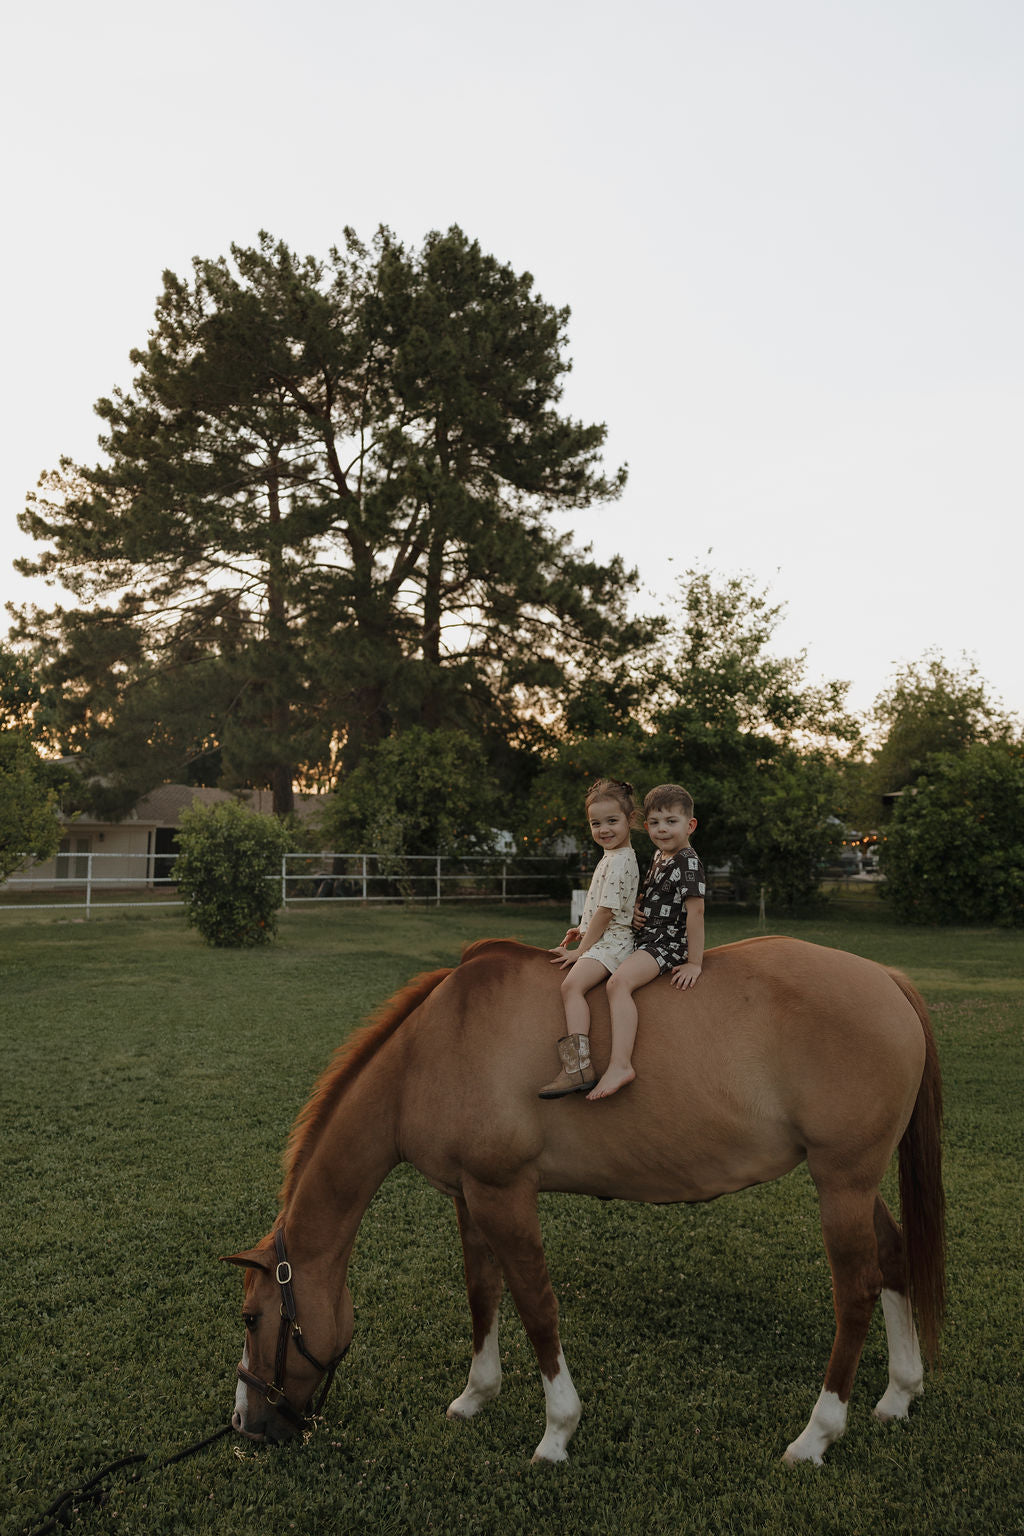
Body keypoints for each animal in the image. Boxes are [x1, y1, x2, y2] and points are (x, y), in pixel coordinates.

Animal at [225, 935, 945, 1466]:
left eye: (252, 1320)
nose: (246, 1425)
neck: (435, 1049)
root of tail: (886, 979)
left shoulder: (505, 1193)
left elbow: (536, 1307)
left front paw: (557, 1431)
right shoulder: (470, 1196)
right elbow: (482, 1293)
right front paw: (476, 1395)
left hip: (841, 1182)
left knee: (856, 1291)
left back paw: (818, 1433)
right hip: (852, 1183)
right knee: (893, 1258)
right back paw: (899, 1394)